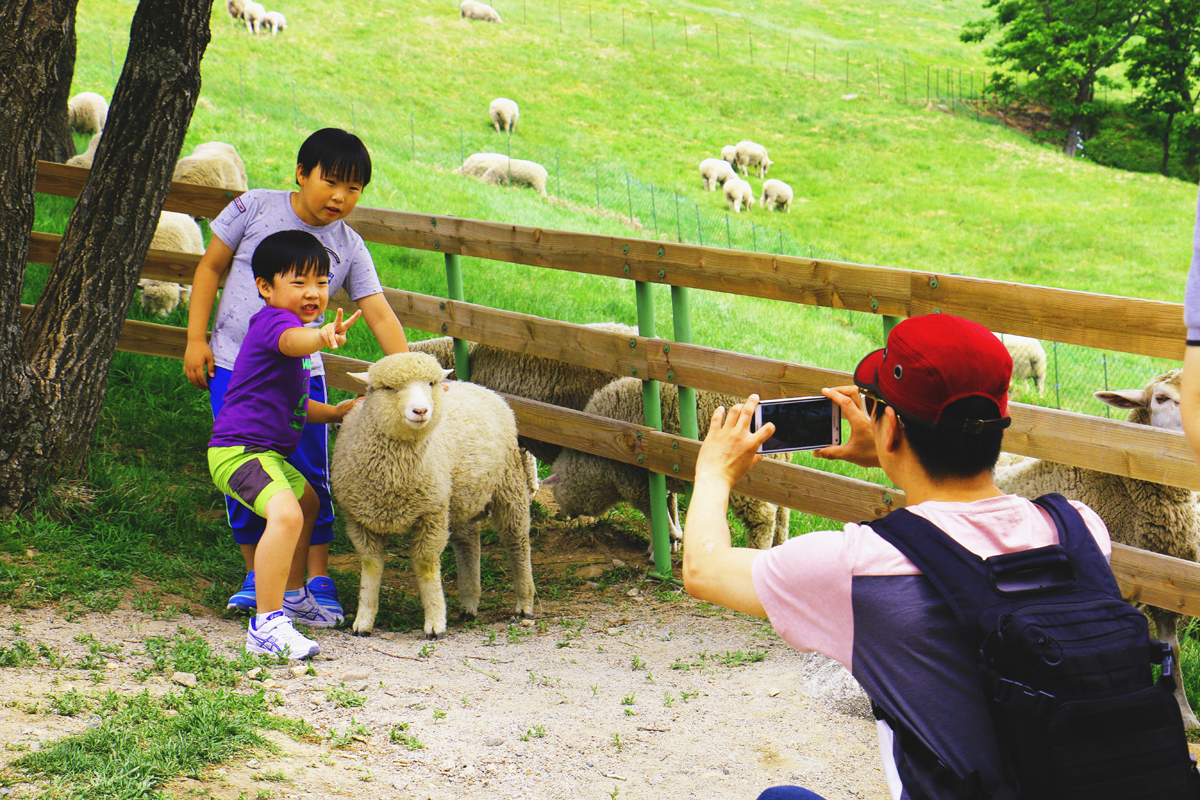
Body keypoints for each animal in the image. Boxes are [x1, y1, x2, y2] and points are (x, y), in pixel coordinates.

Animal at [331, 352, 532, 642]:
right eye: (389, 388)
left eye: (430, 383)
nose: (421, 411)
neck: (393, 474)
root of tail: (477, 386)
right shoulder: (360, 519)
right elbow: (371, 565)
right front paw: (363, 620)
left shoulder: (432, 512)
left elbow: (426, 565)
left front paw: (435, 623)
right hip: (461, 497)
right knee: (469, 543)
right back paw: (469, 603)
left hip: (509, 484)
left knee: (518, 542)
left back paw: (525, 603)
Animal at [542, 381, 787, 556]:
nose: (566, 515)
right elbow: (668, 504)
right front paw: (673, 539)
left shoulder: (636, 481)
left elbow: (653, 512)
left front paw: (662, 544)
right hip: (777, 475)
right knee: (782, 516)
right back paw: (778, 548)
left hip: (751, 479)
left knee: (764, 519)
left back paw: (757, 551)